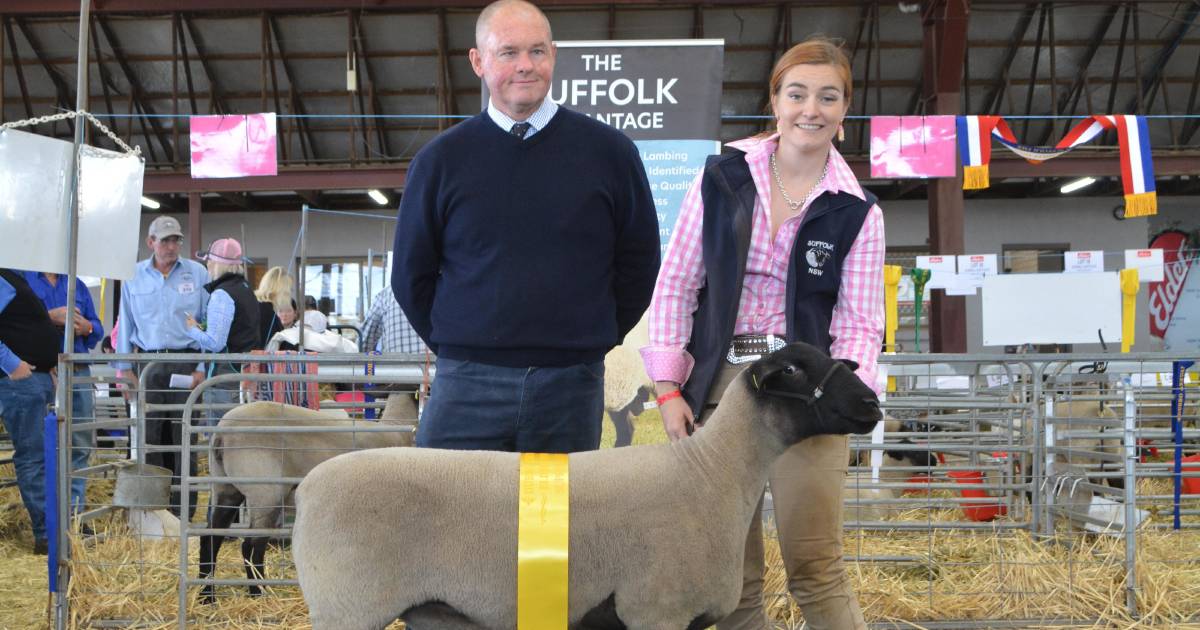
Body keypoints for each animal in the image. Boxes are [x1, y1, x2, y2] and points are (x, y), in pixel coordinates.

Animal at [285, 343, 878, 628]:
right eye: (794, 370)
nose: (871, 403)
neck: (712, 471)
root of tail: (309, 488)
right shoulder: (655, 610)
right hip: (348, 607)